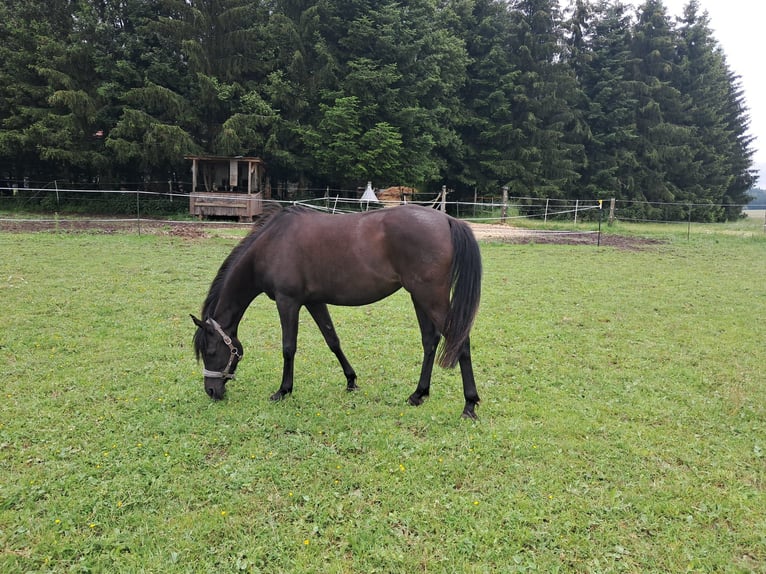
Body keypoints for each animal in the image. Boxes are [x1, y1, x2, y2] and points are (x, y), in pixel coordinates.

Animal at [190, 206, 480, 418]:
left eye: (211, 351)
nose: (212, 391)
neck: (272, 244)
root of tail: (446, 219)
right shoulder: (314, 302)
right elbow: (332, 340)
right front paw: (351, 380)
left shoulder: (288, 302)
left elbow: (288, 347)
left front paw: (283, 391)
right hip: (419, 297)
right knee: (430, 342)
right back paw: (418, 394)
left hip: (430, 298)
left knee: (460, 342)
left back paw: (469, 404)